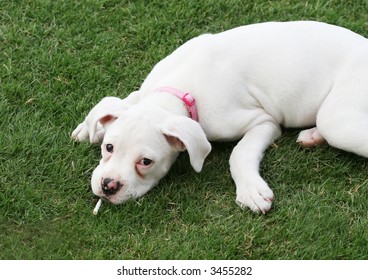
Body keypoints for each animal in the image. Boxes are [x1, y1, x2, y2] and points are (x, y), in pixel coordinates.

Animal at [72, 21, 368, 214]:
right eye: (109, 147)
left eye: (146, 162)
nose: (108, 186)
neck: (176, 92)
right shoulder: (143, 93)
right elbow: (124, 100)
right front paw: (89, 127)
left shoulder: (263, 121)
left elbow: (240, 152)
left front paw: (250, 190)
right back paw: (313, 135)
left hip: (337, 119)